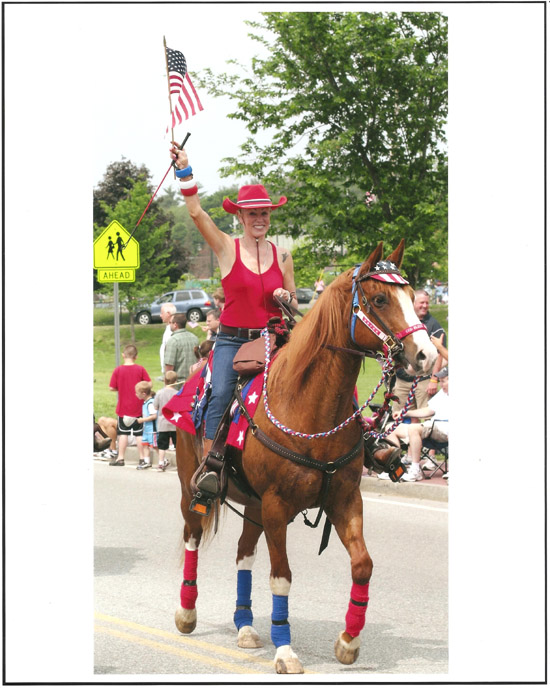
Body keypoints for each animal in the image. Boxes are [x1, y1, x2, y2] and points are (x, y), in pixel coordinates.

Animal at [175, 241, 438, 672]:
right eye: (380, 299)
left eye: (414, 295)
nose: (427, 356)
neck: (308, 401)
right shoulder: (277, 505)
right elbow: (281, 576)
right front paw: (285, 648)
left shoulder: (344, 499)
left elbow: (362, 565)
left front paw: (349, 640)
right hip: (192, 490)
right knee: (192, 538)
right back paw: (186, 612)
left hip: (253, 504)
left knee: (243, 555)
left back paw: (245, 626)